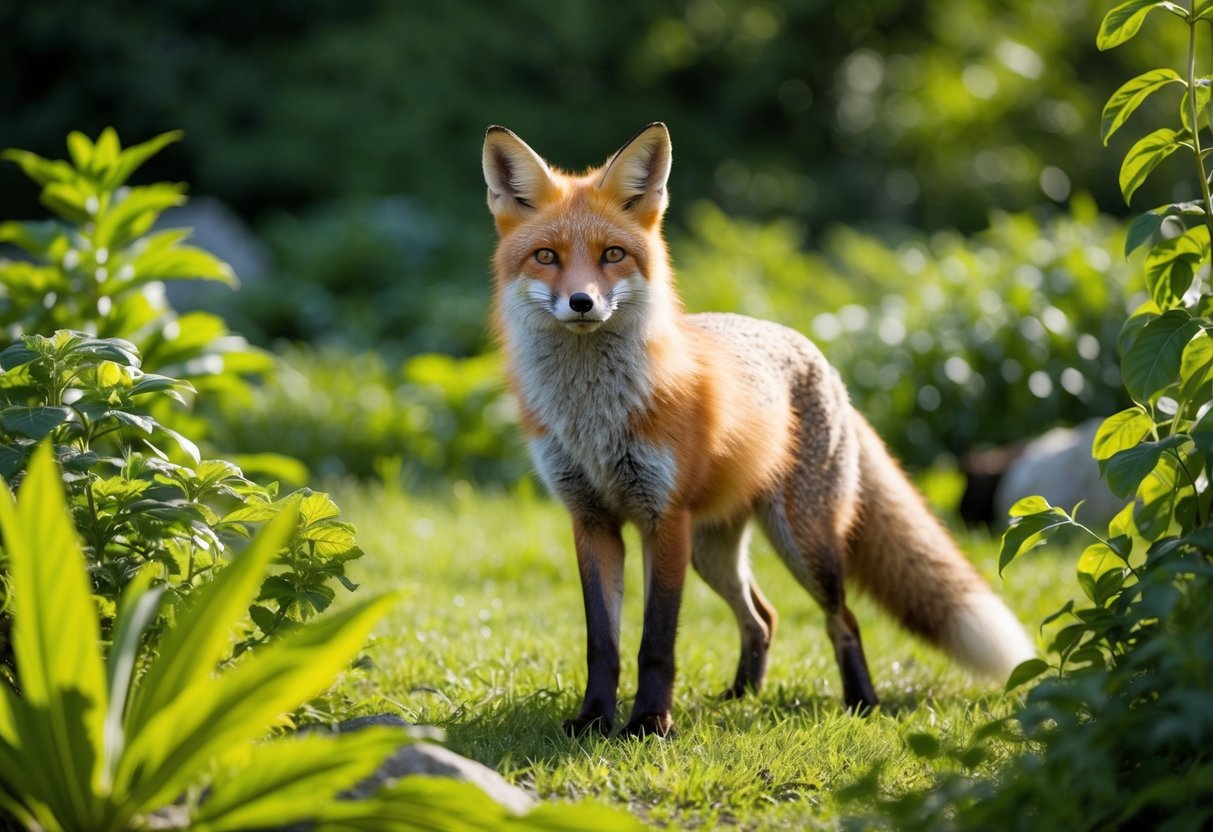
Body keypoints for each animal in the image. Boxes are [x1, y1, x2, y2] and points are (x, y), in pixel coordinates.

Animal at [481, 122, 1036, 738]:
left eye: (613, 255)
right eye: (546, 257)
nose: (582, 302)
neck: (594, 419)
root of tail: (818, 354)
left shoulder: (662, 519)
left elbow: (656, 643)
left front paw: (649, 723)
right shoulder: (592, 520)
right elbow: (603, 643)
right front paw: (594, 720)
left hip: (803, 543)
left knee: (843, 619)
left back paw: (861, 703)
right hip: (712, 550)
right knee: (763, 617)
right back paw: (740, 695)